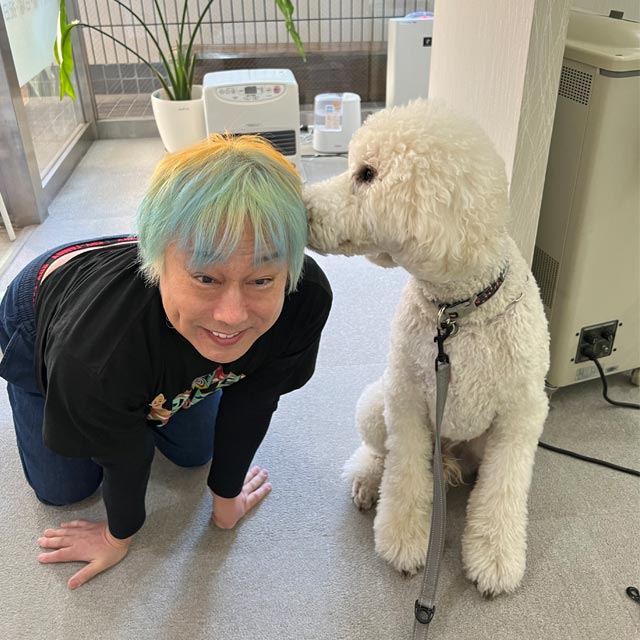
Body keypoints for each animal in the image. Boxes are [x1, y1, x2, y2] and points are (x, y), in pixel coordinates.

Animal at [304, 99, 550, 597]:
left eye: (367, 174)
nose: (304, 207)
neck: (457, 313)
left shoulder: (520, 417)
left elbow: (502, 492)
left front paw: (494, 559)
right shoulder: (407, 401)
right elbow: (405, 478)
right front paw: (403, 542)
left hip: (475, 442)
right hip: (374, 403)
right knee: (379, 455)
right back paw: (367, 481)